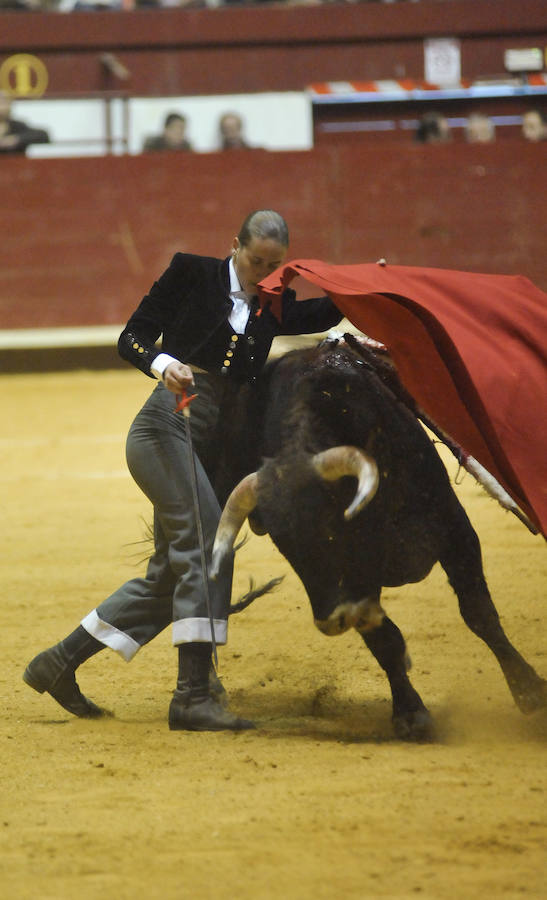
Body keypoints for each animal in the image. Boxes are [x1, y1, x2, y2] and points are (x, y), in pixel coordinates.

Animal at [209, 334, 544, 736]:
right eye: (283, 543)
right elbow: (385, 640)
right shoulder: (354, 586)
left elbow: (479, 613)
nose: (330, 621)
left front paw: (529, 691)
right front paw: (410, 715)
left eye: (331, 524)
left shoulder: (455, 528)